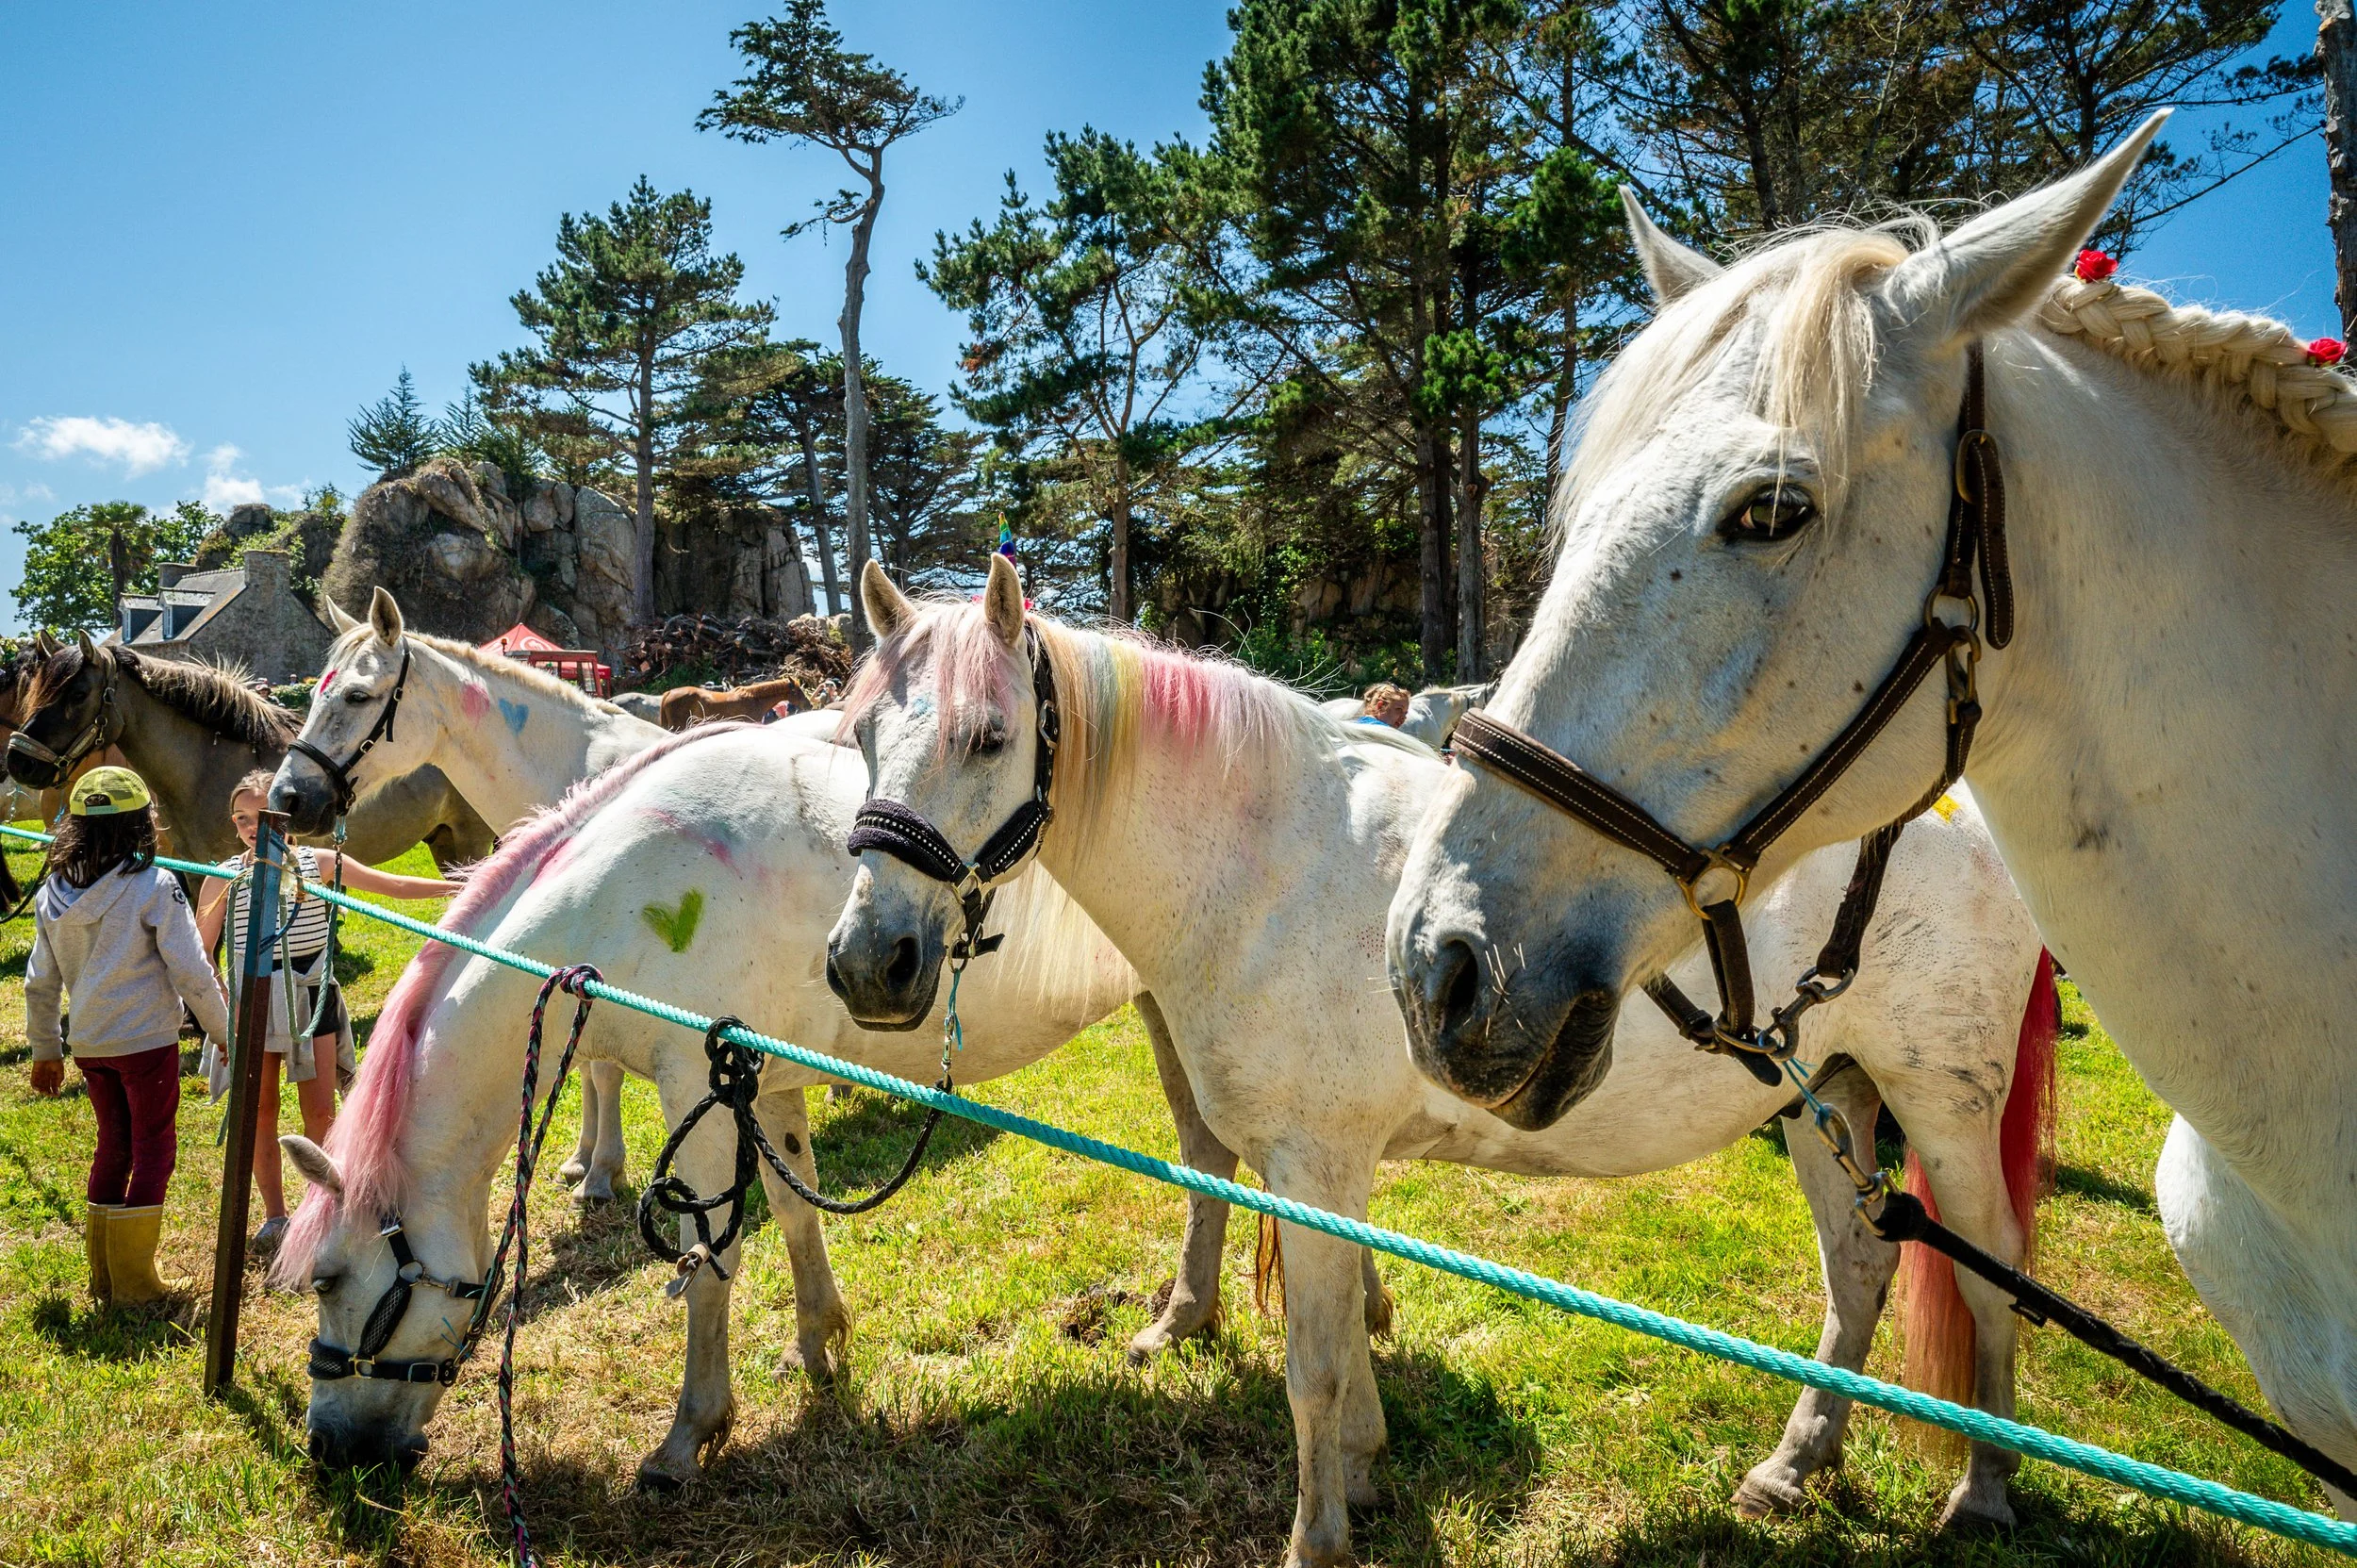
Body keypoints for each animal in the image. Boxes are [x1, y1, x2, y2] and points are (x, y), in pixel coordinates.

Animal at [4, 633, 494, 871]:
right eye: (36, 690)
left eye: (78, 694)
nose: (18, 760)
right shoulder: (191, 867)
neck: (205, 769)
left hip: (469, 845)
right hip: (446, 845)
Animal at [1386, 114, 2357, 1515]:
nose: (1440, 969)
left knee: (1984, 1256)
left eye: (1771, 510)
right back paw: (1803, 1453)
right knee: (1865, 1256)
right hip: (1828, 1088)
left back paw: (1986, 1480)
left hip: (1937, 1098)